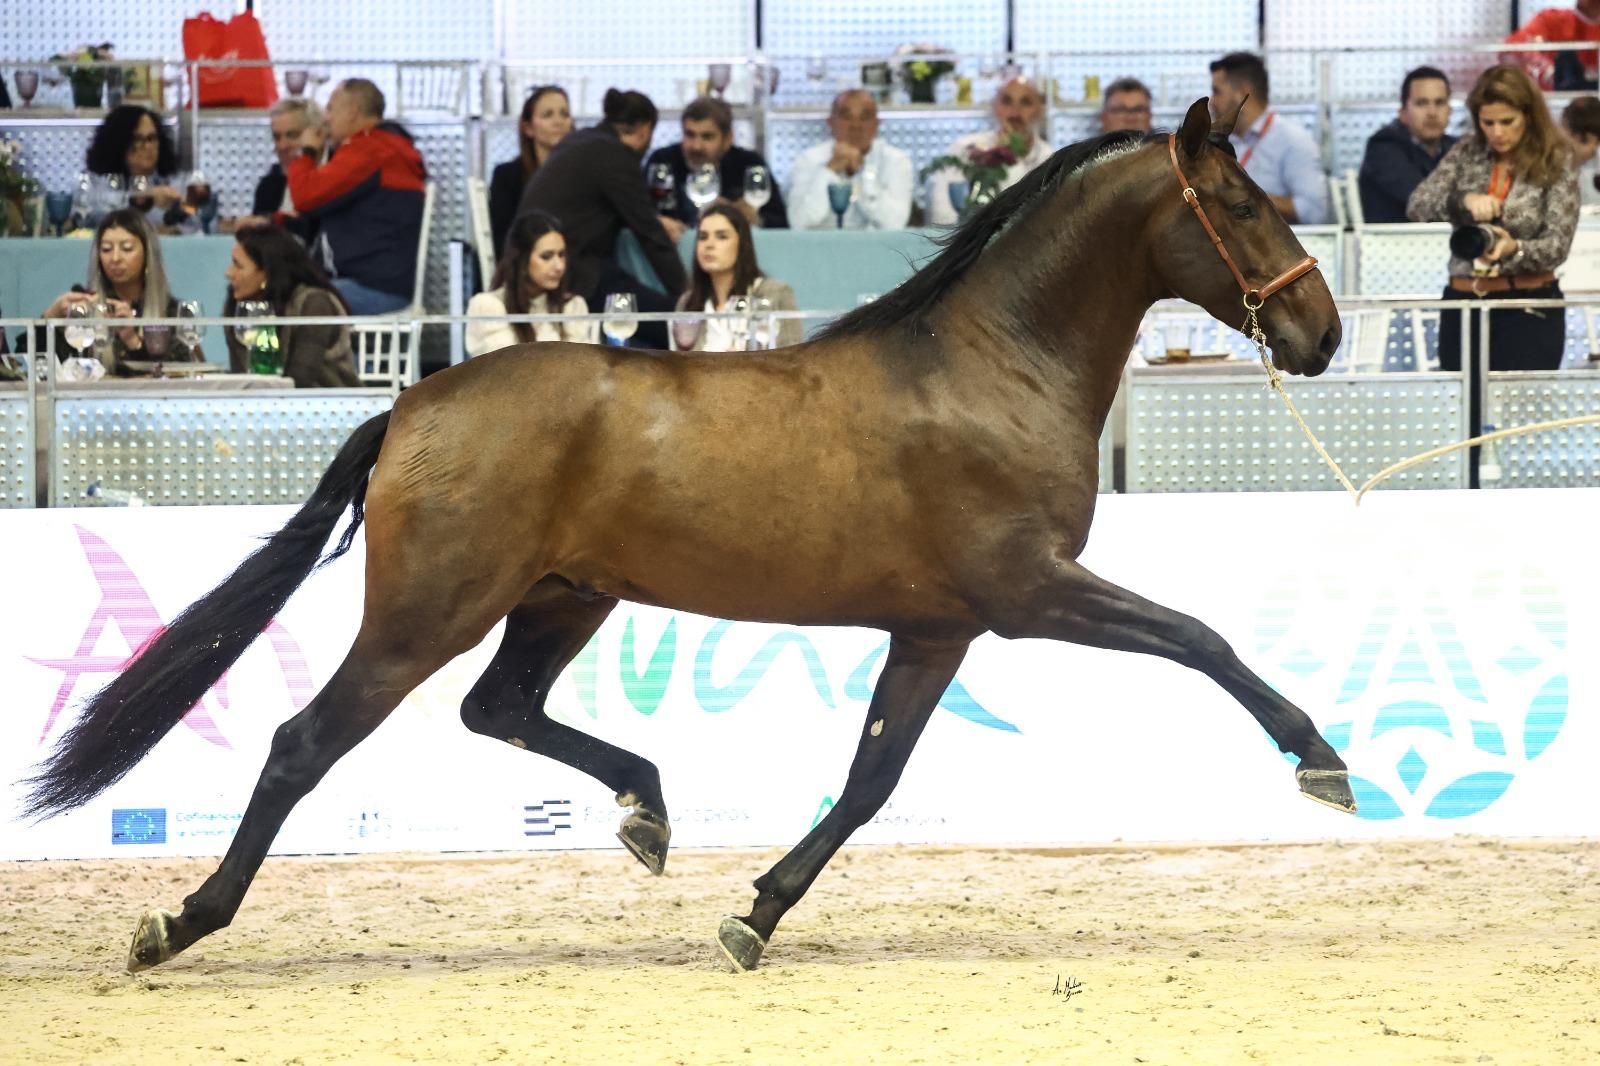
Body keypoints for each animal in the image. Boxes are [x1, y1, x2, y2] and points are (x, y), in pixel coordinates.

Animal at [23, 99, 1351, 975]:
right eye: (1240, 203)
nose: (1323, 333)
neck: (988, 366)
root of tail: (408, 405)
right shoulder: (1029, 590)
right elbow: (1201, 637)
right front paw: (1321, 763)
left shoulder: (937, 628)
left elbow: (871, 779)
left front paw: (754, 913)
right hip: (429, 611)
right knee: (307, 744)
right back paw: (177, 922)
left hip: (564, 596)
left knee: (499, 708)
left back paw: (648, 811)